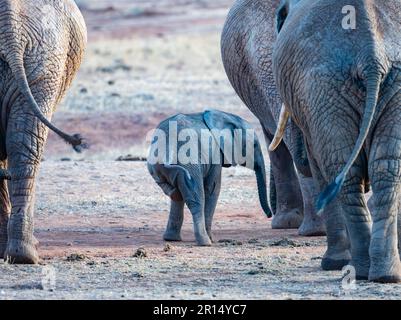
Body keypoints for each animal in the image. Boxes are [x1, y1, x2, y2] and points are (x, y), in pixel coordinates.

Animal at [145, 109, 270, 245]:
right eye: (255, 145)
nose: (270, 215)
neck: (226, 116)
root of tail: (168, 148)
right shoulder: (216, 154)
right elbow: (213, 188)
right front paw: (212, 239)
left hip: (156, 166)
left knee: (177, 194)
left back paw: (171, 238)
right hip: (189, 161)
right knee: (196, 198)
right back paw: (205, 242)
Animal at [274, 0, 400, 282]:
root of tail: (371, 56)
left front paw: (332, 264)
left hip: (324, 88)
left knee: (347, 172)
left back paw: (356, 268)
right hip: (332, 91)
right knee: (383, 168)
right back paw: (383, 274)